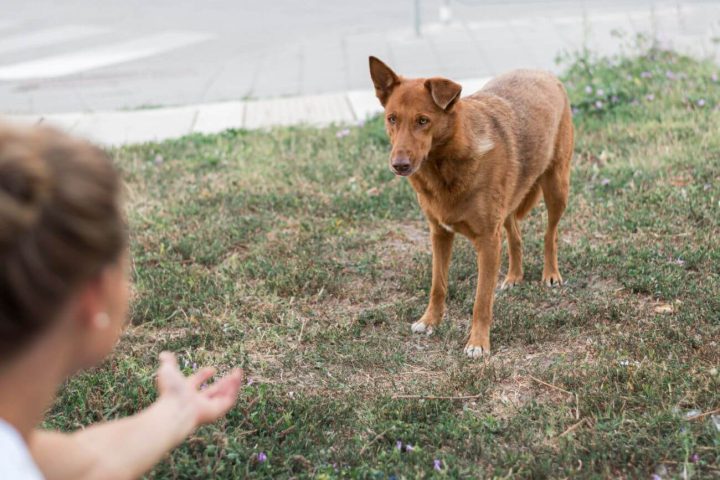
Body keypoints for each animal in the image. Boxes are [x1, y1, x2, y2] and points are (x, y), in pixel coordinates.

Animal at [372, 56, 572, 356]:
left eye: (423, 121)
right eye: (392, 119)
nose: (399, 165)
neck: (444, 166)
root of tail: (543, 72)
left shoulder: (488, 242)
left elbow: (481, 299)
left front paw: (478, 343)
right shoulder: (439, 234)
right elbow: (438, 285)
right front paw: (430, 321)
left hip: (557, 188)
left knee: (551, 234)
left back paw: (550, 274)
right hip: (510, 202)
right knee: (515, 234)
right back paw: (514, 276)